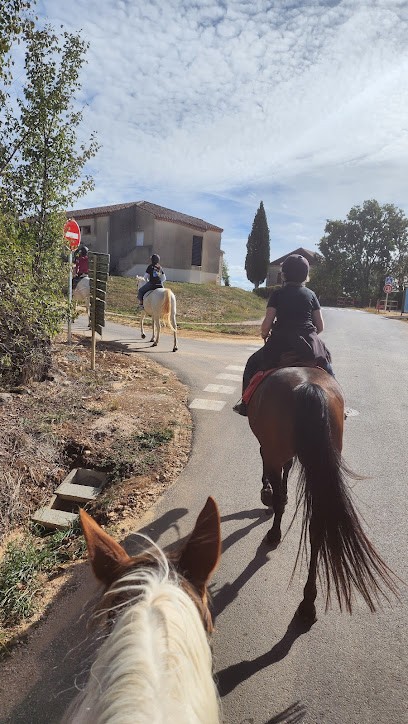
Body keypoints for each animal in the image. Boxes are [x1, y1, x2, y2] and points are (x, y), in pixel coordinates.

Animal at [247, 365, 398, 624]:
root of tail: (309, 387)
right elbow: (287, 471)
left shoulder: (271, 451)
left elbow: (274, 477)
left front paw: (267, 493)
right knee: (317, 529)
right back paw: (308, 603)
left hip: (277, 449)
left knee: (282, 497)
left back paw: (274, 533)